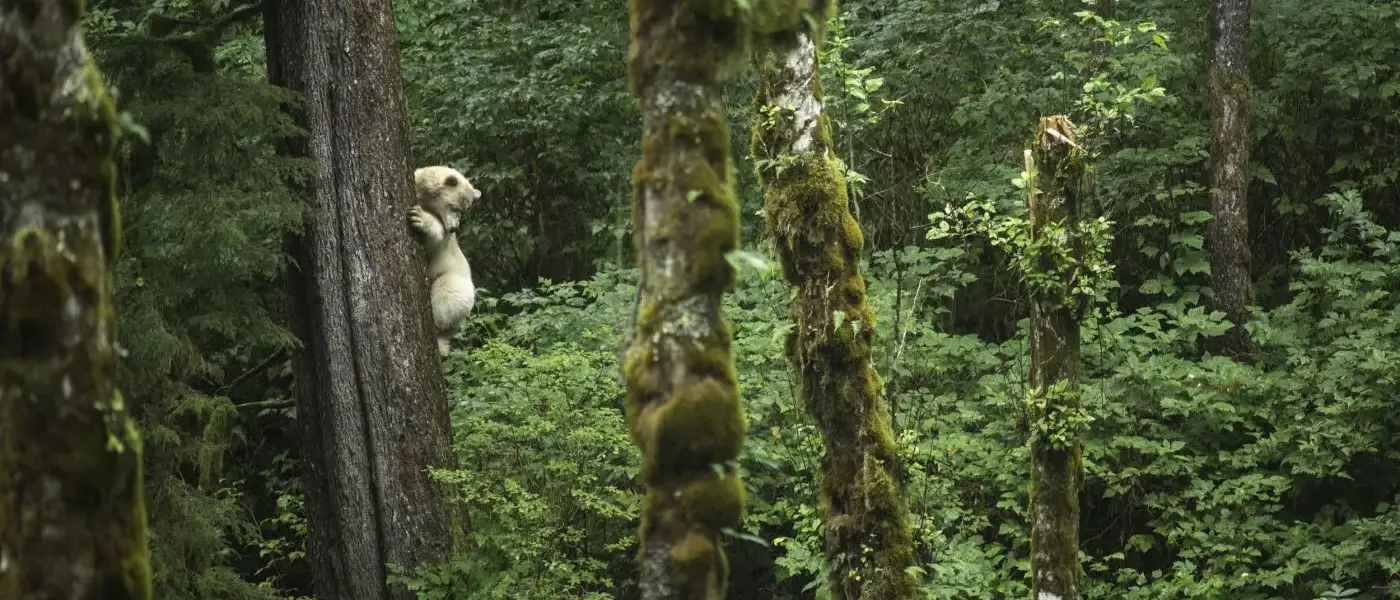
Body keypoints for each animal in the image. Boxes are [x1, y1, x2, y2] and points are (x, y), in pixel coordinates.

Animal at [408, 165, 481, 356]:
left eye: (464, 210)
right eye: (454, 206)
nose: (454, 228)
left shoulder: (444, 239)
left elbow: (435, 238)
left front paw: (418, 217)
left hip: (457, 285)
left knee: (447, 291)